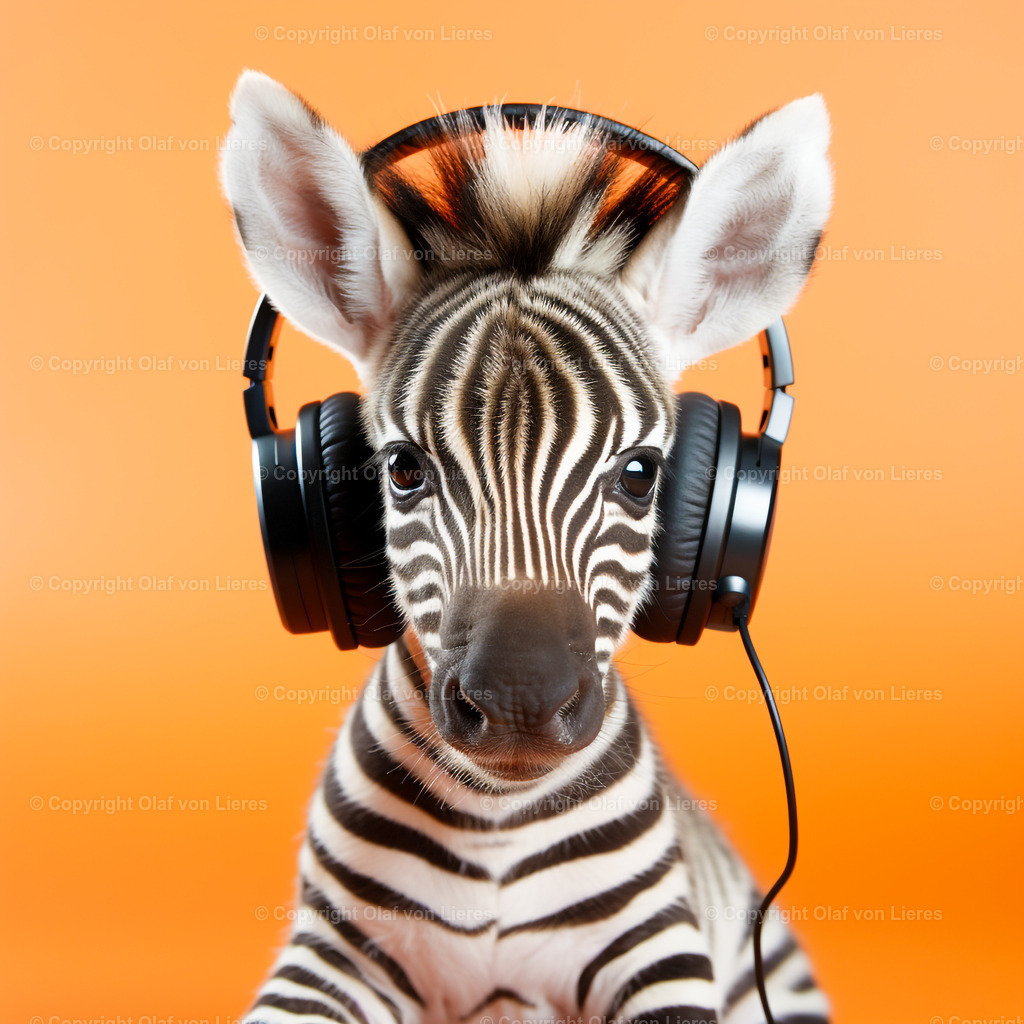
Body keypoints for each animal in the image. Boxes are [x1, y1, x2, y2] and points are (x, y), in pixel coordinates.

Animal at [220, 71, 833, 1024]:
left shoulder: (659, 949)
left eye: (640, 475)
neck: (497, 829)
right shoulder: (332, 951)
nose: (518, 707)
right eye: (403, 470)